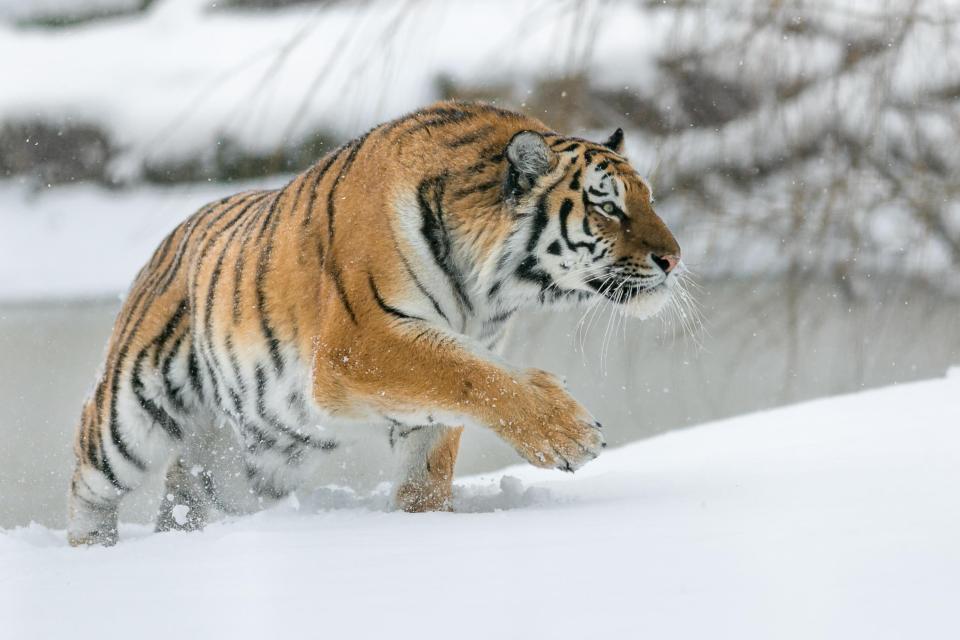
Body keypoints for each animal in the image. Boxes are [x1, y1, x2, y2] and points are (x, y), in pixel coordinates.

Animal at [67, 100, 684, 544]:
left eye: (649, 198)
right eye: (608, 207)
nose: (674, 259)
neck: (490, 293)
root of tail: (172, 236)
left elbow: (432, 453)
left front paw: (424, 520)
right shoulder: (360, 343)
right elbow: (470, 375)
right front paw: (569, 434)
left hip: (249, 460)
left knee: (189, 487)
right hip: (129, 414)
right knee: (89, 482)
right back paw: (94, 555)